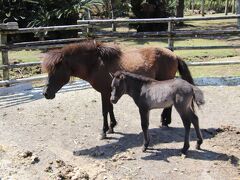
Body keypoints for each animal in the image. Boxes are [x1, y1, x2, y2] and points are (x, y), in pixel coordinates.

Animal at [42, 40, 194, 139]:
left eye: (55, 71)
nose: (45, 93)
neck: (95, 64)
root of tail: (174, 55)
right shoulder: (109, 92)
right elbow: (110, 108)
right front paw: (112, 127)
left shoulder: (104, 92)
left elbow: (104, 111)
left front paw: (104, 131)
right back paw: (165, 121)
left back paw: (165, 122)